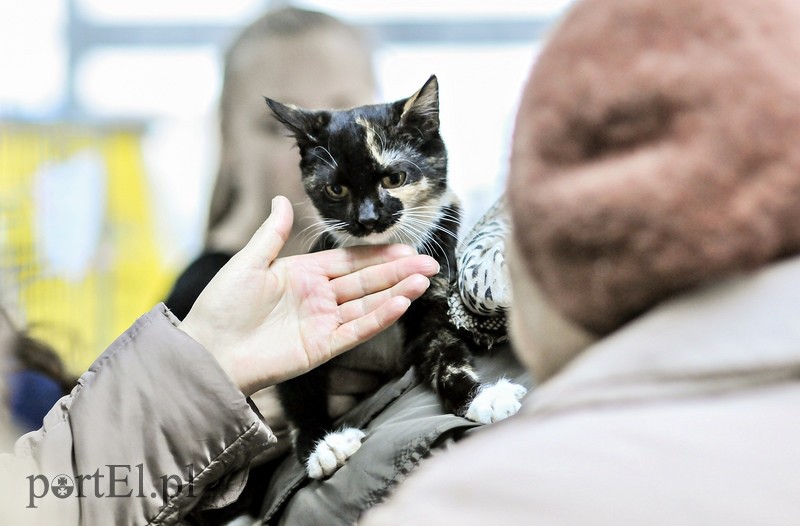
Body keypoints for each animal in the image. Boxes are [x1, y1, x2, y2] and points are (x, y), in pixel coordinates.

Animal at [266, 75, 524, 482]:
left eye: (395, 177)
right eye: (336, 188)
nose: (368, 218)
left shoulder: (433, 297)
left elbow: (447, 357)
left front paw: (482, 398)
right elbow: (300, 392)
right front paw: (322, 446)